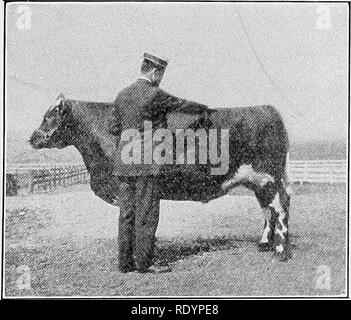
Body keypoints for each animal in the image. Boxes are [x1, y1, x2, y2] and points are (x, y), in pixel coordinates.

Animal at [30, 94, 292, 262]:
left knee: (280, 206)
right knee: (268, 208)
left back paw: (280, 251)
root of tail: (268, 108)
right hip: (258, 181)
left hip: (268, 176)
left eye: (49, 116)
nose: (32, 138)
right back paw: (264, 244)